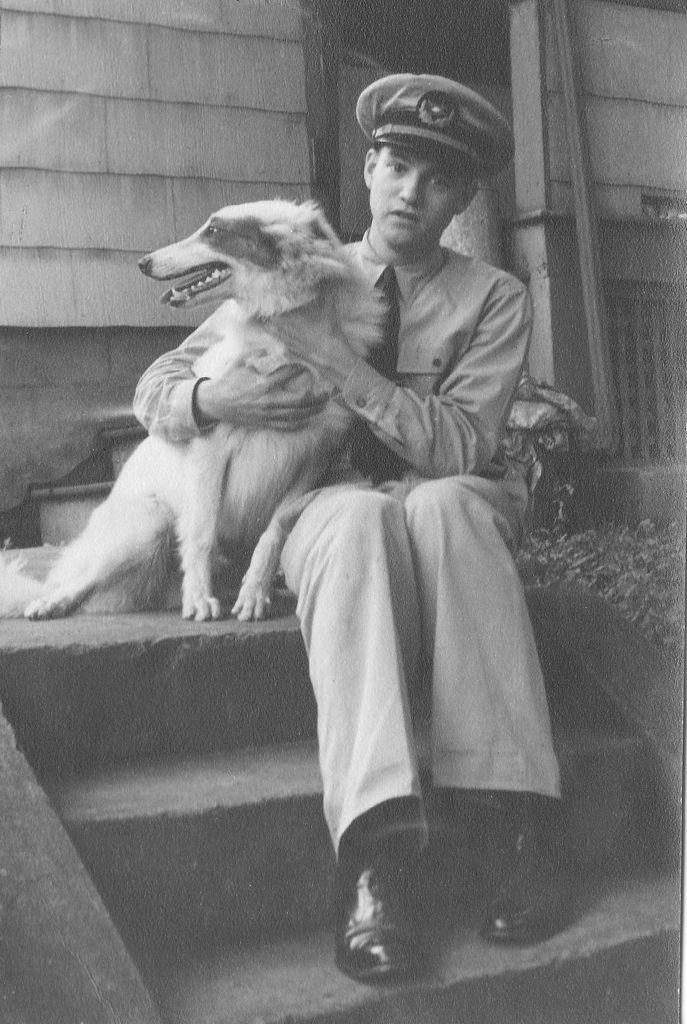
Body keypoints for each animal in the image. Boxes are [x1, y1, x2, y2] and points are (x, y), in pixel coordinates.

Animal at [1, 198, 380, 614]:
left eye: (213, 231)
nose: (142, 263)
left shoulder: (315, 458)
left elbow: (274, 530)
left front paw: (254, 592)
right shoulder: (209, 449)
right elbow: (201, 534)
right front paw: (199, 599)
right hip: (149, 523)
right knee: (74, 581)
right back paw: (51, 603)